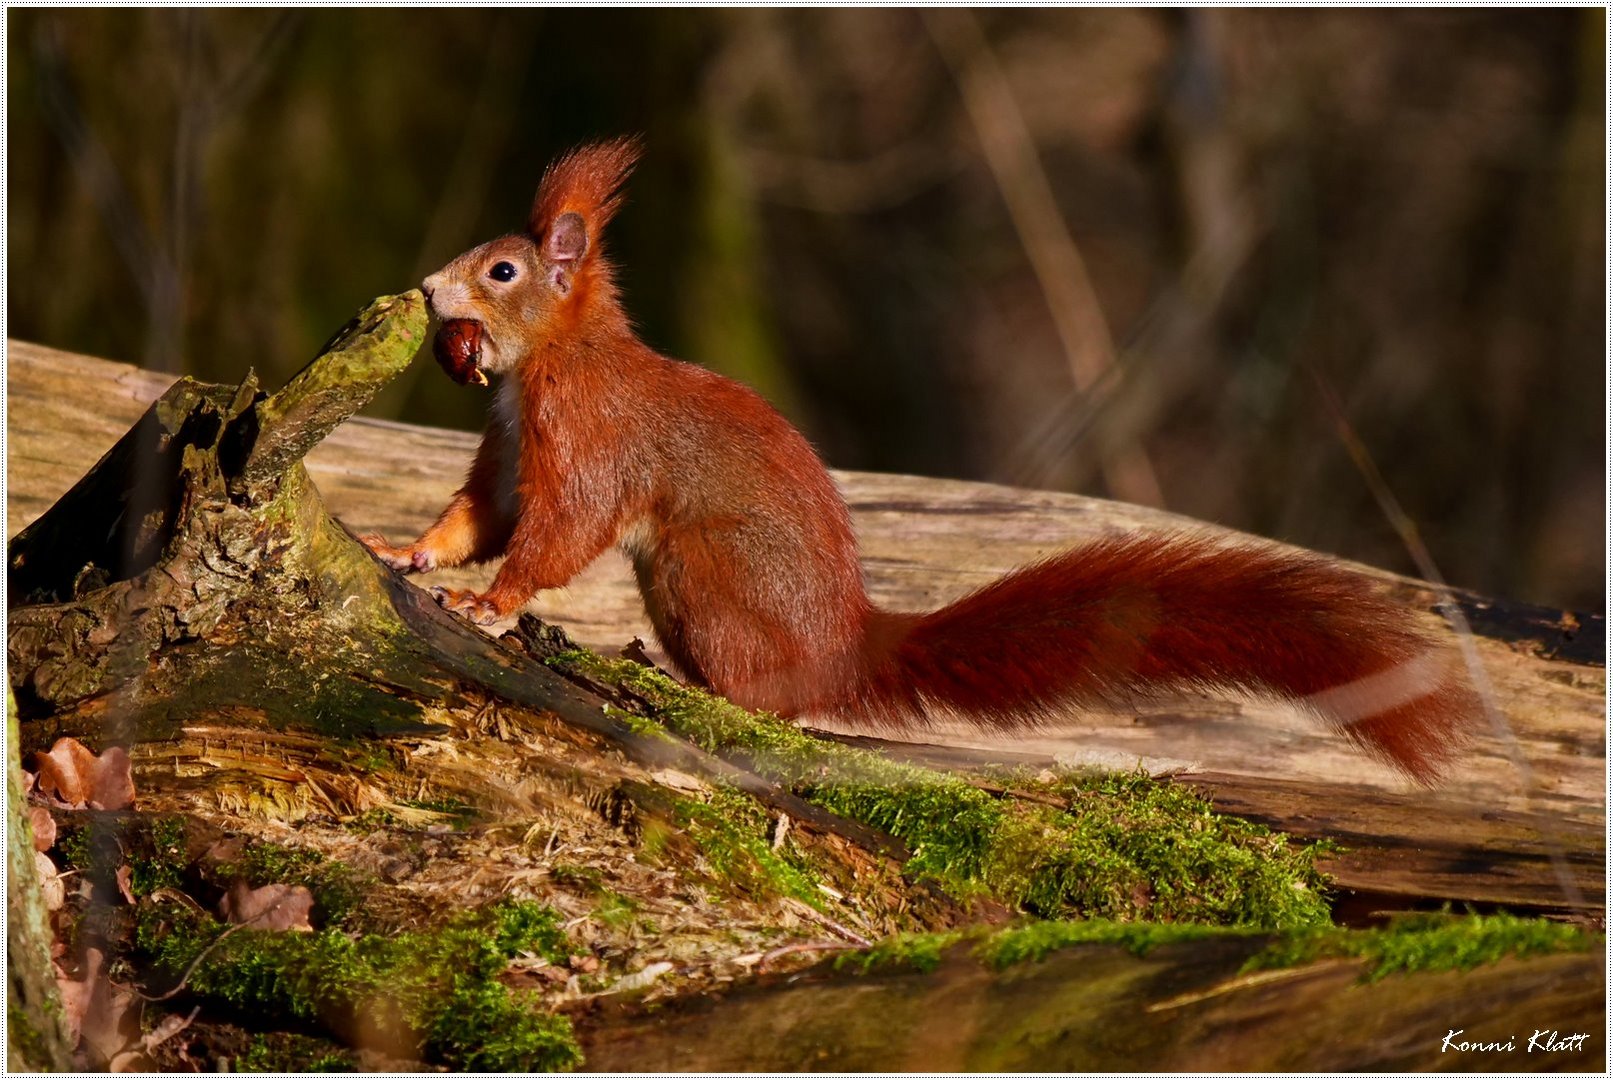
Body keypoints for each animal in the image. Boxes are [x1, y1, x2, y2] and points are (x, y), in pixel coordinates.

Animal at [362, 141, 1477, 786]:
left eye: (502, 270)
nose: (425, 290)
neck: (554, 358)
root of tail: (848, 649)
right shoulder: (511, 444)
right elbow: (482, 513)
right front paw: (411, 554)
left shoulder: (587, 436)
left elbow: (559, 530)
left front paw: (493, 606)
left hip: (704, 575)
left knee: (771, 703)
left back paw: (685, 681)